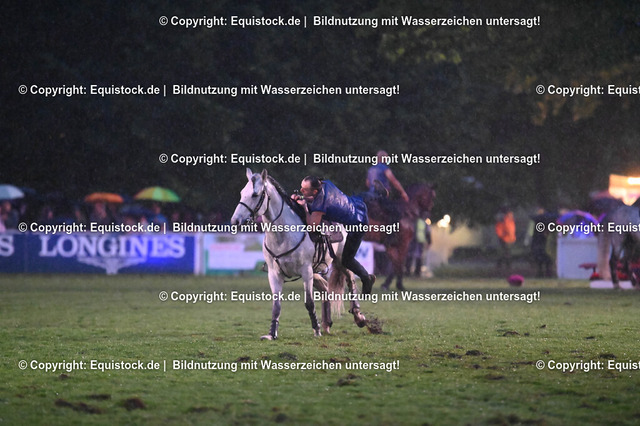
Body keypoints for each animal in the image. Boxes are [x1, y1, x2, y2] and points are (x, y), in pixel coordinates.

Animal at [230, 168, 367, 340]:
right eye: (242, 193)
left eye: (255, 194)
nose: (235, 221)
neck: (282, 237)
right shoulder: (274, 274)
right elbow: (276, 305)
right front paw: (271, 334)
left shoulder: (306, 271)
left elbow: (309, 303)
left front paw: (316, 330)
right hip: (316, 271)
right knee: (325, 288)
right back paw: (326, 324)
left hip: (341, 261)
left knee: (351, 281)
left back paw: (358, 317)